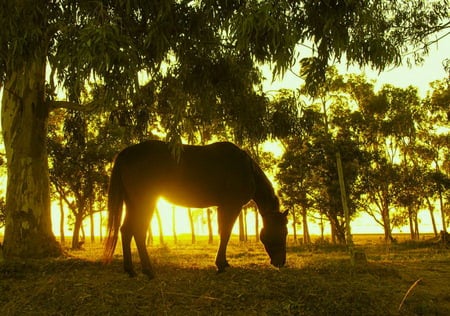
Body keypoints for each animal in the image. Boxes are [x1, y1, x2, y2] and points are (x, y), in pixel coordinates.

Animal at [103, 139, 288, 278]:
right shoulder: (231, 205)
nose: (281, 263)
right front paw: (220, 264)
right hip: (145, 202)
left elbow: (223, 233)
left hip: (132, 203)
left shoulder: (223, 206)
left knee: (126, 230)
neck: (247, 169)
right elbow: (226, 233)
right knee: (139, 231)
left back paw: (131, 270)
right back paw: (148, 270)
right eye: (283, 232)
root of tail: (127, 152)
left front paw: (223, 263)